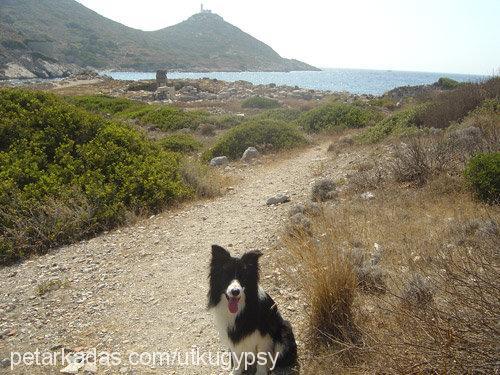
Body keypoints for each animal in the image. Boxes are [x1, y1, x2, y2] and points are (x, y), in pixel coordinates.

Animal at [207, 245, 296, 374]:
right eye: (226, 275)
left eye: (243, 276)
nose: (235, 291)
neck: (240, 310)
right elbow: (237, 358)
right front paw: (236, 371)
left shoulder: (264, 337)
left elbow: (262, 359)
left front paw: (261, 372)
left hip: (284, 331)